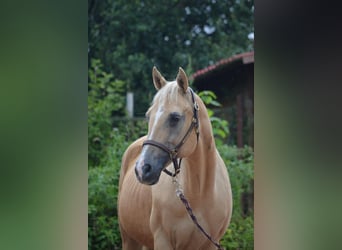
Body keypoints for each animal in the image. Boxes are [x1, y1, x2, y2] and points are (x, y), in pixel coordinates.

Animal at [117, 67, 232, 250]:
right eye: (148, 116)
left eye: (175, 118)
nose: (142, 169)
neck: (199, 194)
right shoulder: (163, 241)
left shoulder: (212, 243)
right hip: (129, 239)